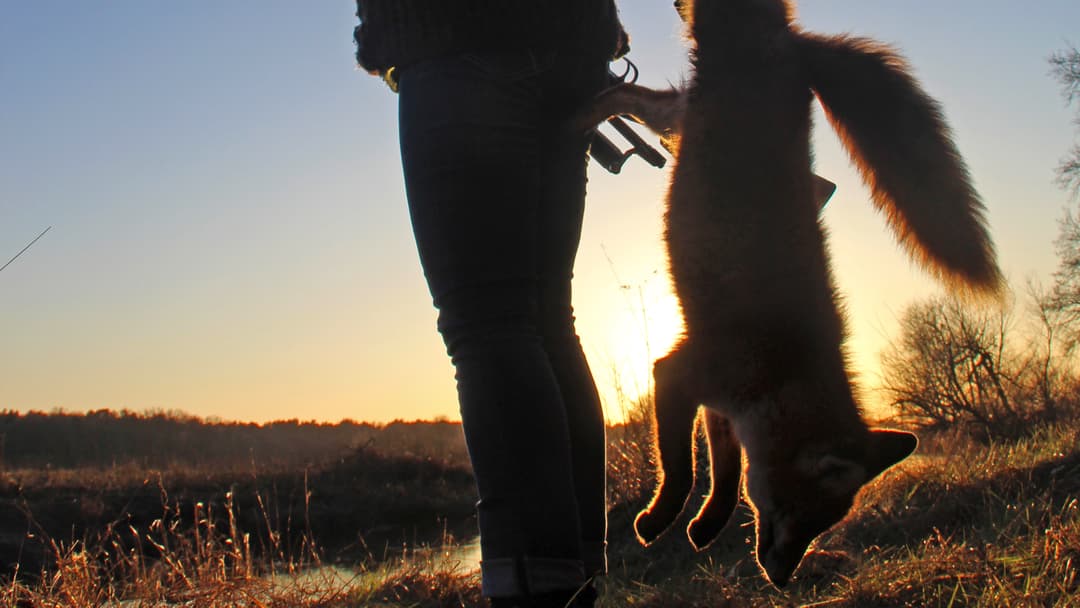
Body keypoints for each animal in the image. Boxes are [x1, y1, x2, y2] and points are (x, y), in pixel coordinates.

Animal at [583, 0, 1002, 587]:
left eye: (822, 525)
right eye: (800, 514)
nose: (782, 580)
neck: (781, 370)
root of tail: (791, 43)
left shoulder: (720, 405)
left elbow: (726, 474)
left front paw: (705, 527)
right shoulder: (677, 373)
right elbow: (682, 470)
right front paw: (658, 519)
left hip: (674, 117)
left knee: (622, 100)